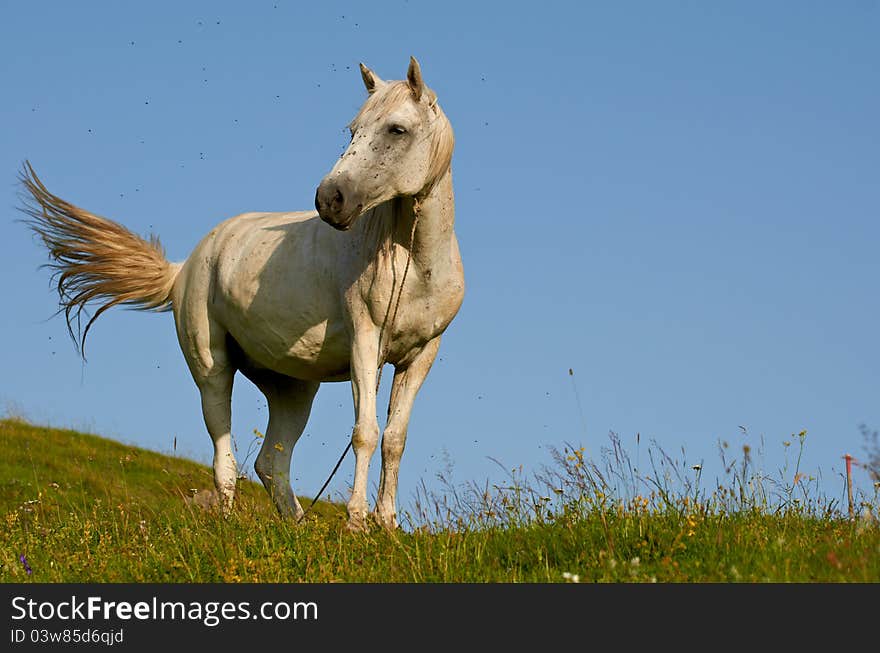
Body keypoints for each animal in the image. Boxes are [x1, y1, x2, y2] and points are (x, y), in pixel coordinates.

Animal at [20, 57, 464, 528]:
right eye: (353, 130)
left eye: (397, 129)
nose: (331, 199)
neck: (413, 265)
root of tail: (185, 267)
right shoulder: (366, 343)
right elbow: (366, 432)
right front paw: (357, 523)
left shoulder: (420, 355)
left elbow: (394, 438)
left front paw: (387, 525)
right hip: (212, 369)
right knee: (225, 457)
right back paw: (231, 524)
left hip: (292, 389)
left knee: (271, 464)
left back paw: (297, 529)